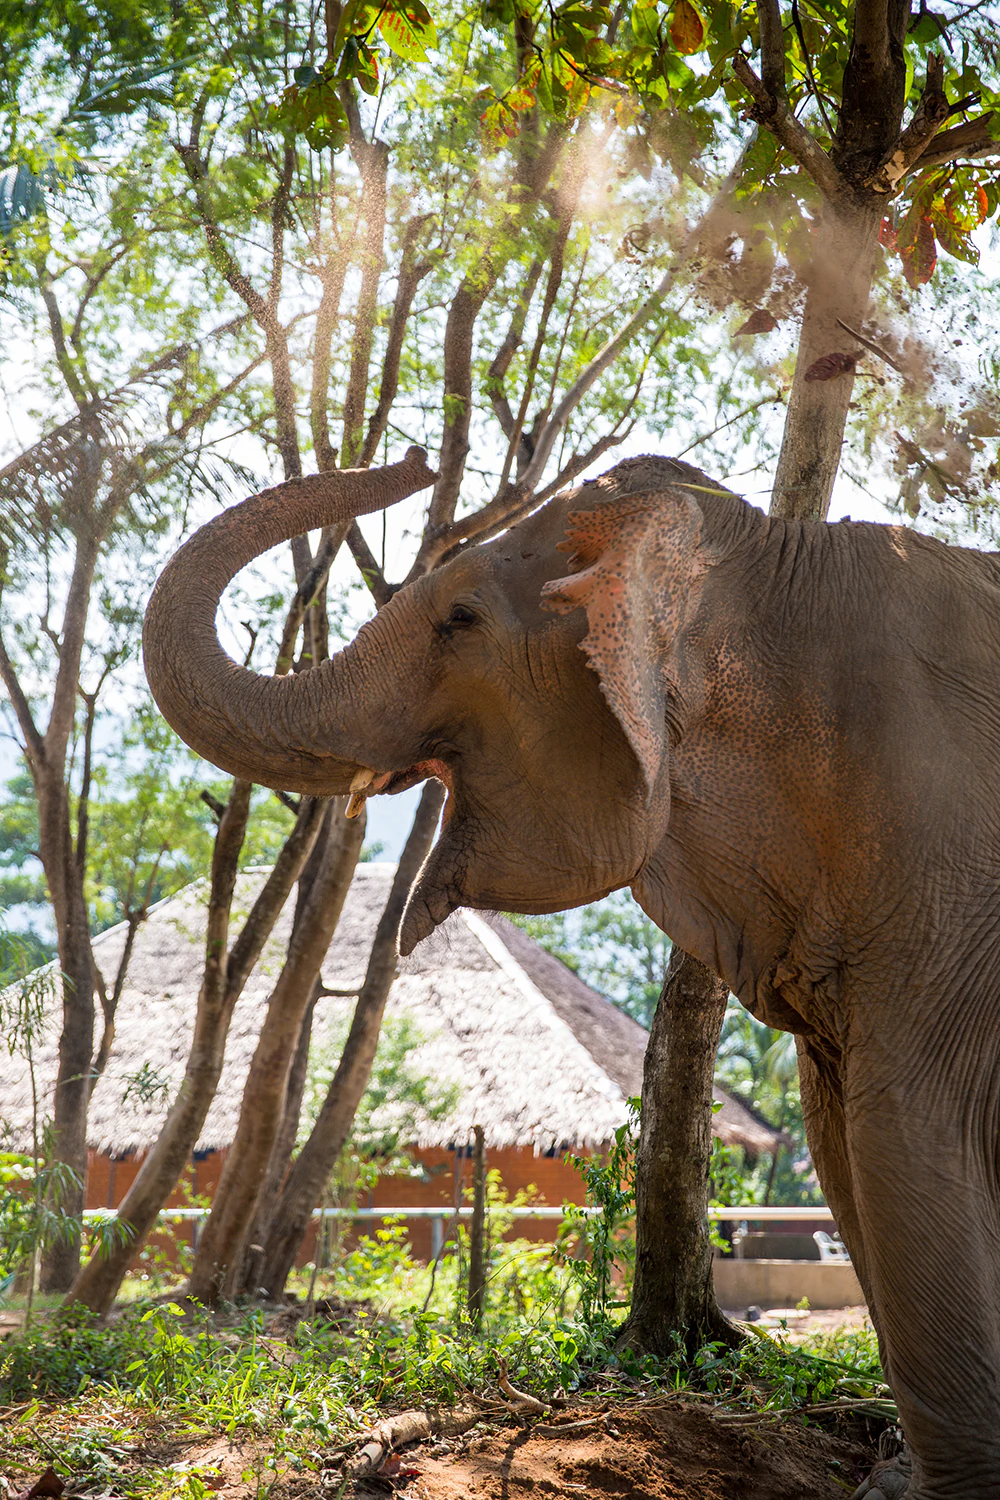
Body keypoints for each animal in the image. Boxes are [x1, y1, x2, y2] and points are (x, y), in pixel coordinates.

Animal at [145, 444, 1000, 1497]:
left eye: (460, 617)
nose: (413, 459)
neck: (759, 561)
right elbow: (841, 1148)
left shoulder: (947, 874)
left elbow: (906, 1137)